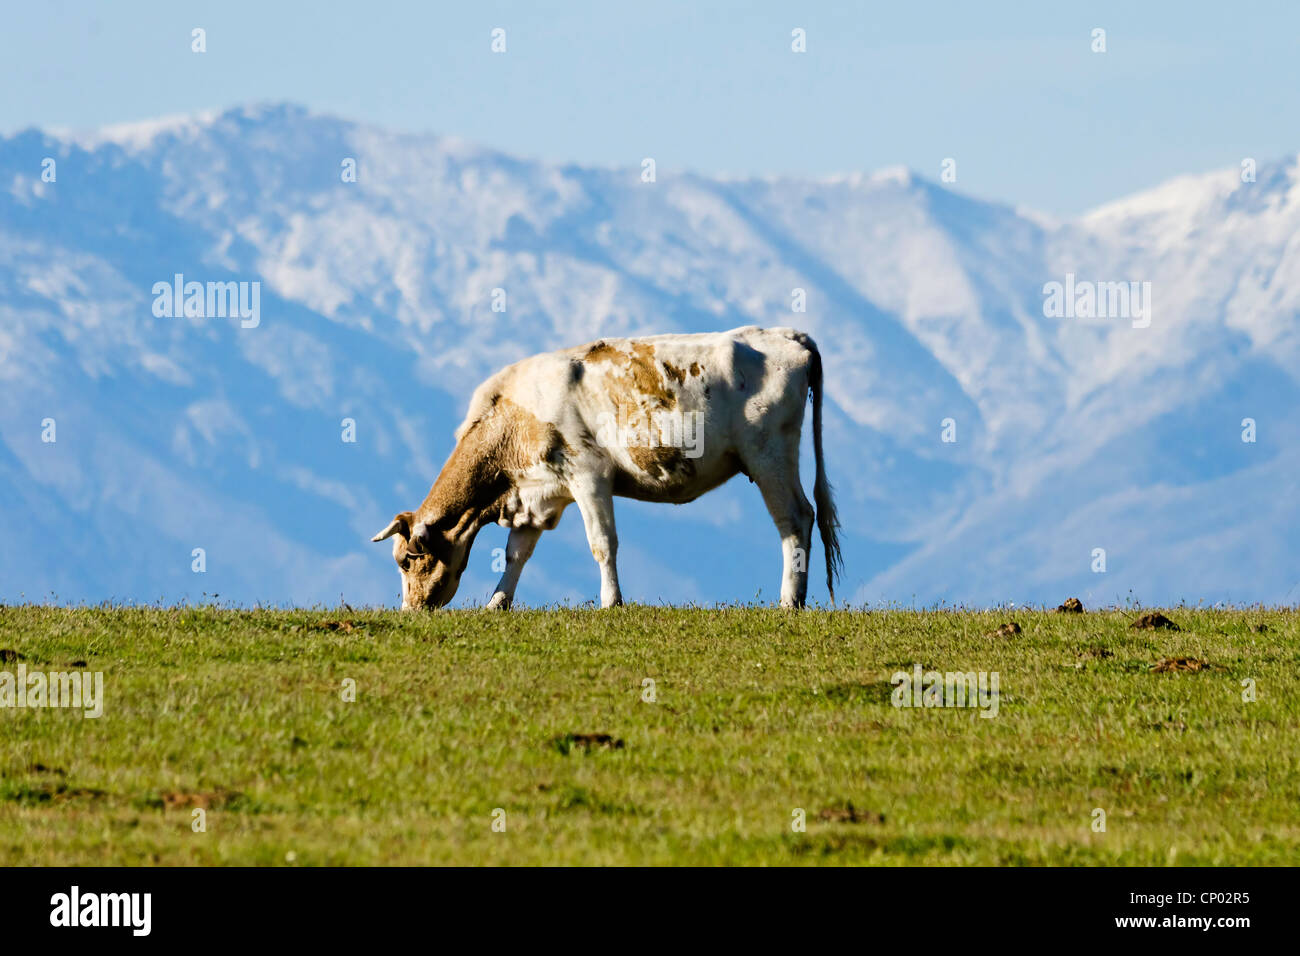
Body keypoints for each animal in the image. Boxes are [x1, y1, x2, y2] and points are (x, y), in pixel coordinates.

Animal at [371, 329, 847, 608]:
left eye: (408, 560)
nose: (411, 610)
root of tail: (784, 333)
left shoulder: (589, 475)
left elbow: (602, 544)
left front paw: (611, 602)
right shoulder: (538, 495)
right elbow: (516, 553)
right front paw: (497, 603)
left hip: (770, 455)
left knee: (795, 518)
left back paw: (790, 602)